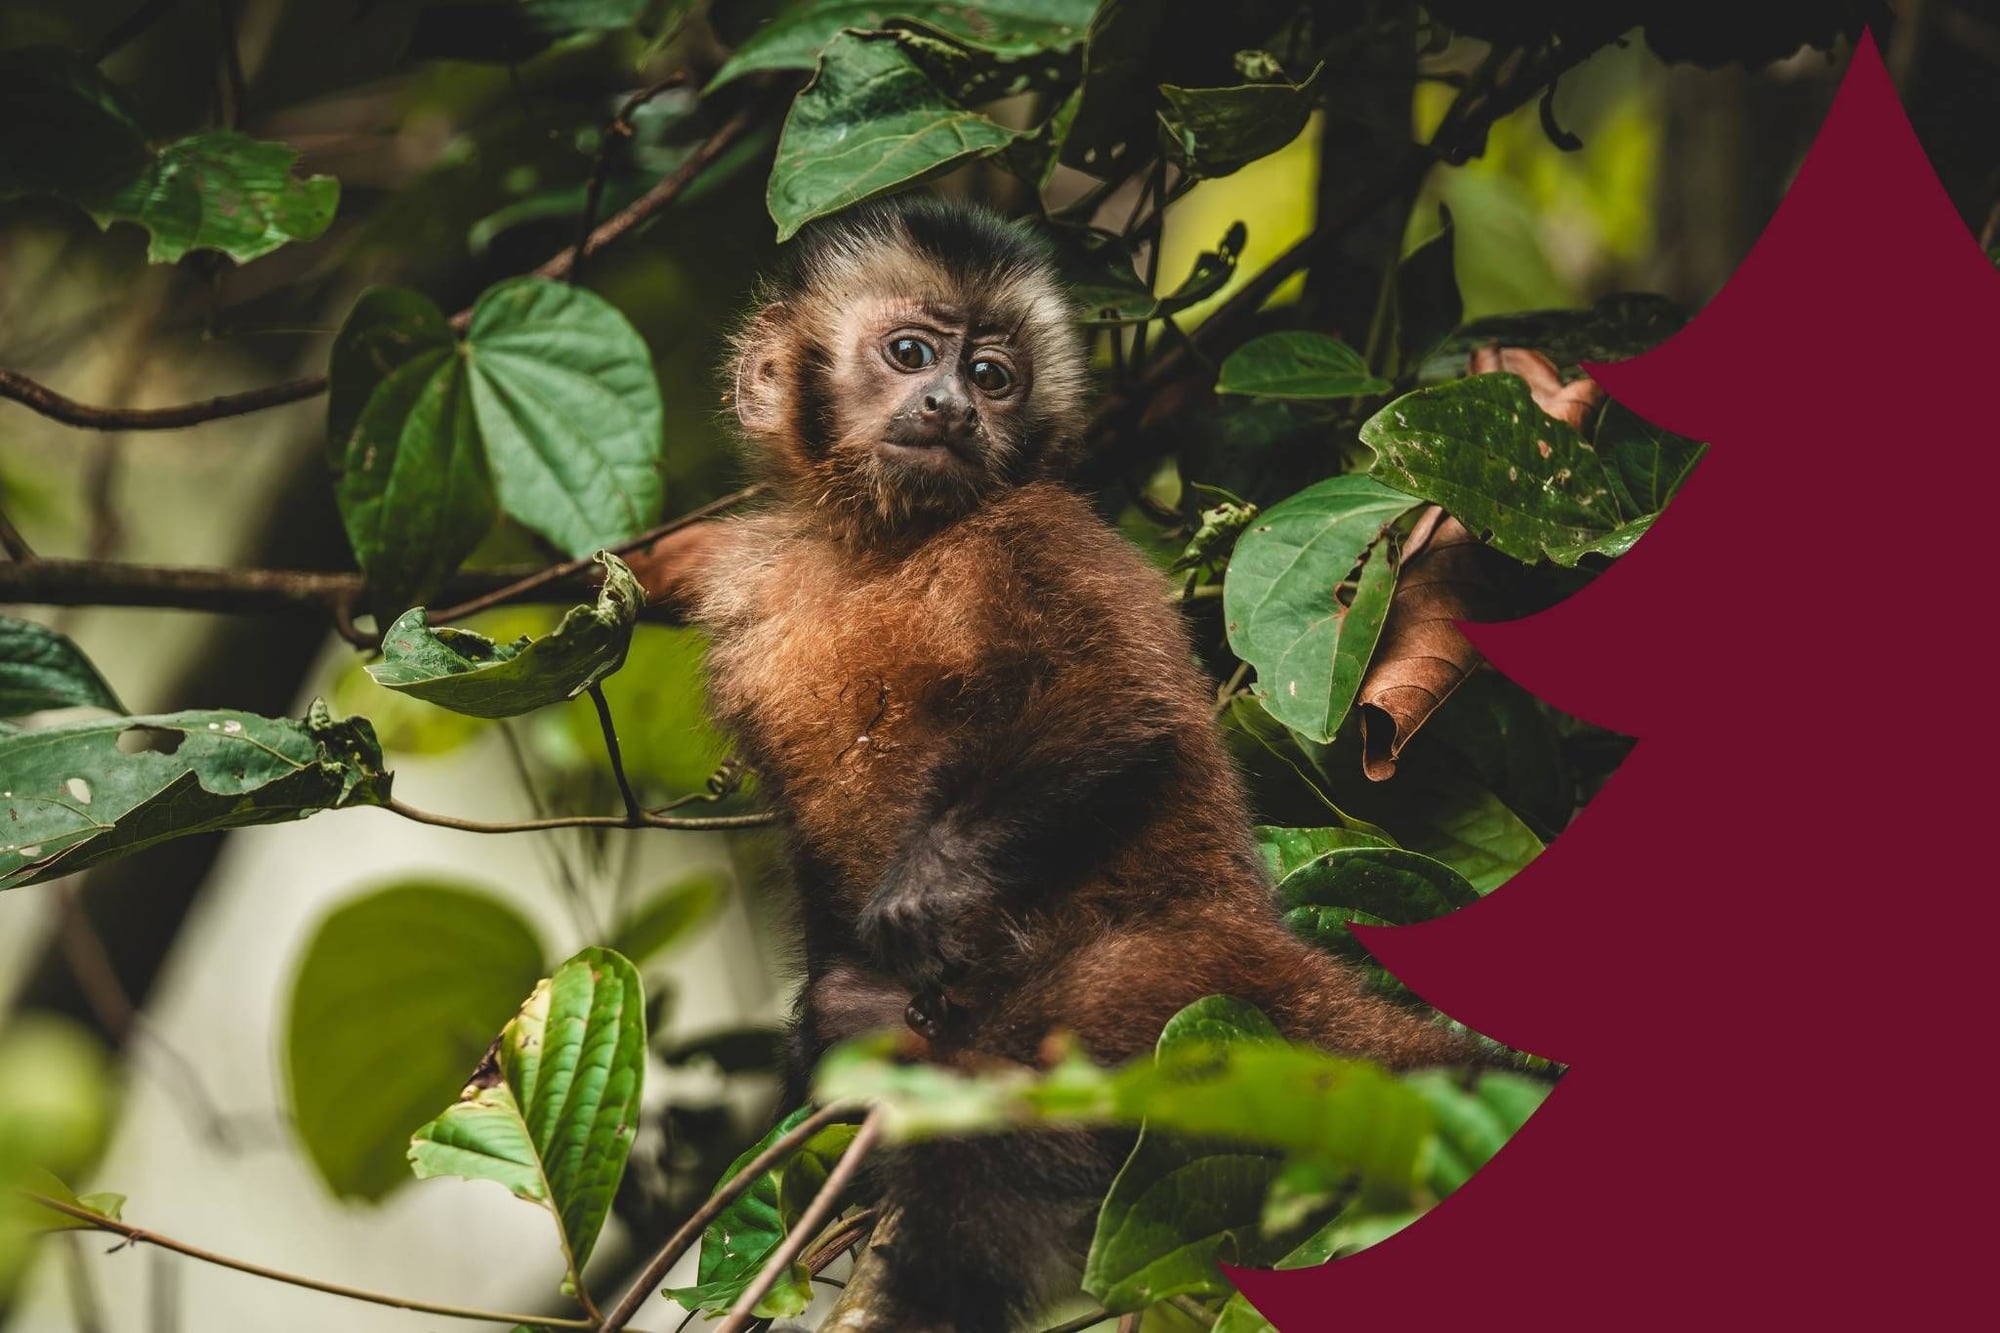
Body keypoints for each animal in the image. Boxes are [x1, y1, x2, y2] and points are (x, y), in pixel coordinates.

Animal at [635, 195, 1494, 1331]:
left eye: (993, 374)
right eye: (910, 354)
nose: (952, 405)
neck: (878, 546)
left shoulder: (1035, 531)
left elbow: (1123, 699)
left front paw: (932, 882)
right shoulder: (741, 605)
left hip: (1160, 991)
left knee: (995, 1160)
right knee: (861, 1025)